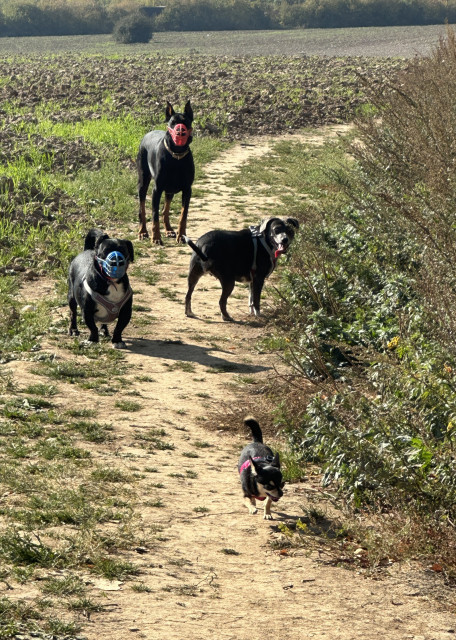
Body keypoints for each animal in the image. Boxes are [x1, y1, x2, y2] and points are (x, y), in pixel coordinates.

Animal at [137, 100, 195, 244]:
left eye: (186, 122)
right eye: (173, 122)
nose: (180, 132)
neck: (176, 156)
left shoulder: (187, 189)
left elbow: (183, 215)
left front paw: (181, 235)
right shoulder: (157, 189)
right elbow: (154, 215)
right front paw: (156, 237)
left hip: (170, 189)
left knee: (165, 210)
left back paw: (169, 230)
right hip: (143, 182)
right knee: (142, 209)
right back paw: (142, 232)